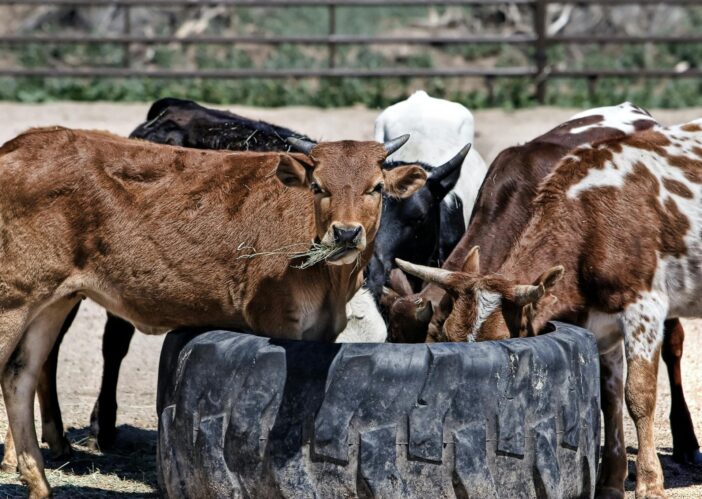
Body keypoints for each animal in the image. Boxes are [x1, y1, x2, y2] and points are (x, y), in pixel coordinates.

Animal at [0, 127, 424, 498]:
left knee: (21, 375)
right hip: (14, 299)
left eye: (377, 187)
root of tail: (21, 144)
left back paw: (39, 483)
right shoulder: (277, 321)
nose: (346, 233)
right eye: (319, 187)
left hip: (53, 300)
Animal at [398, 118, 702, 499]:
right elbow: (609, 398)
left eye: (502, 342)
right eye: (446, 338)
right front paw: (611, 480)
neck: (592, 219)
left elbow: (639, 396)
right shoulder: (601, 324)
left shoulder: (643, 309)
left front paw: (648, 482)